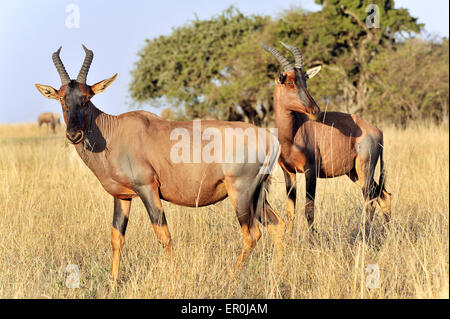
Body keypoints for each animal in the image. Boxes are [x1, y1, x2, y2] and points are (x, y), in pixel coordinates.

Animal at [35, 45, 284, 284]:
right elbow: (117, 237)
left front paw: (175, 277)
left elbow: (164, 235)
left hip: (240, 193)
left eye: (87, 98)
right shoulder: (122, 196)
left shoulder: (148, 189)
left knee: (252, 234)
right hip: (257, 194)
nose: (73, 135)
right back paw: (275, 273)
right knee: (276, 225)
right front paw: (112, 284)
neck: (115, 132)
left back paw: (232, 277)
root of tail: (270, 138)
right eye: (61, 98)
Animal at [260, 41, 390, 234]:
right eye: (290, 82)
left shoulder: (310, 171)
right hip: (354, 172)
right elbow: (290, 211)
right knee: (383, 196)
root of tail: (378, 131)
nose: (315, 110)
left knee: (370, 201)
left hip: (365, 168)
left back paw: (365, 235)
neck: (293, 133)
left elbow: (309, 210)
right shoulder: (289, 172)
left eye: (305, 80)